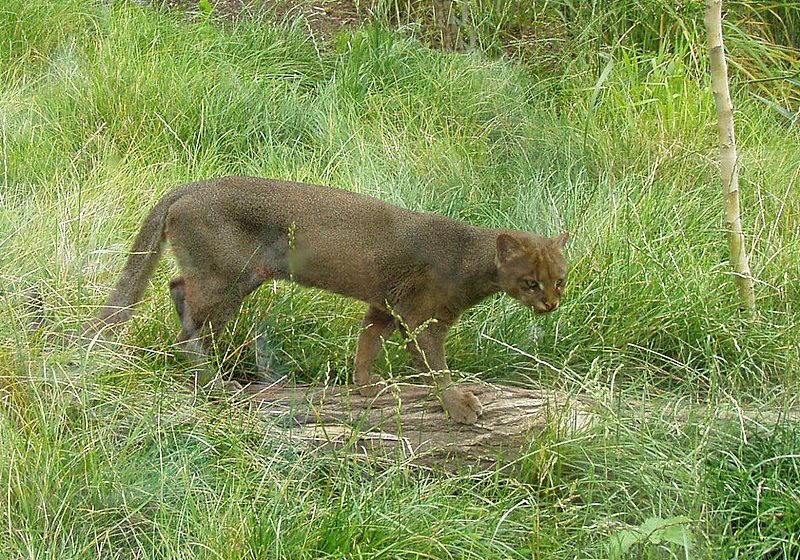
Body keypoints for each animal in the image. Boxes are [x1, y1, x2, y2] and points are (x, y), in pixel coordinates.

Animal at [89, 177, 568, 422]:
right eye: (531, 282)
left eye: (560, 281)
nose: (551, 304)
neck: (471, 257)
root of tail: (187, 187)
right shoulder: (420, 319)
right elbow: (436, 369)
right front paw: (458, 406)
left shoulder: (385, 306)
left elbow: (368, 343)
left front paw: (367, 386)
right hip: (227, 278)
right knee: (188, 326)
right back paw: (213, 381)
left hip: (237, 278)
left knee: (178, 290)